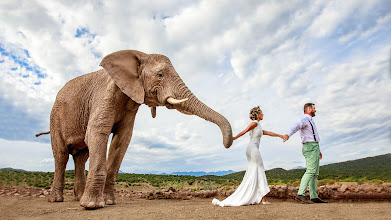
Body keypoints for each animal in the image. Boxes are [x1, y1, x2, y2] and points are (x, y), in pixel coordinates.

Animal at [37, 49, 233, 210]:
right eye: (160, 74)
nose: (226, 144)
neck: (138, 55)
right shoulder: (104, 95)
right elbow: (97, 132)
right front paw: (92, 206)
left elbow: (122, 140)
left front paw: (109, 202)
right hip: (55, 118)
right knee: (61, 154)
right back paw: (57, 200)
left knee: (81, 156)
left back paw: (78, 198)